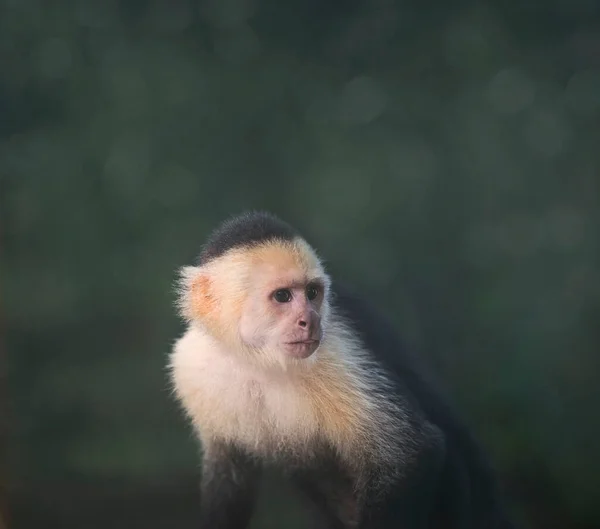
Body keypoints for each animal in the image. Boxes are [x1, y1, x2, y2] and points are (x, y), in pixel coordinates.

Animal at [169, 210, 516, 528]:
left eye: (312, 293)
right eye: (282, 296)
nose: (309, 321)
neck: (258, 360)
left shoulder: (335, 353)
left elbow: (412, 452)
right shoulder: (189, 367)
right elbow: (228, 476)